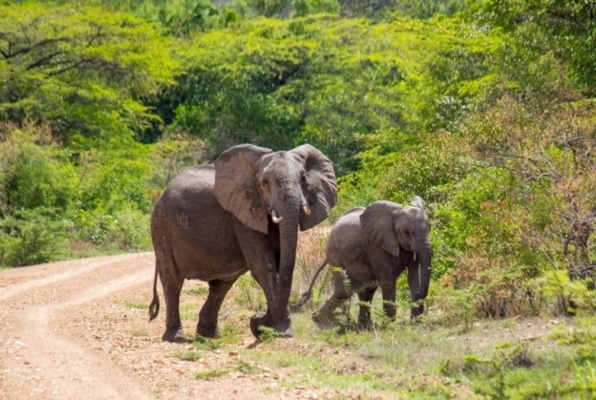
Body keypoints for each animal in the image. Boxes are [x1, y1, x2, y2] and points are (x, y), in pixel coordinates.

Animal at [148, 144, 336, 340]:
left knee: (221, 285)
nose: (256, 318)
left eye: (304, 179)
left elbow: (278, 265)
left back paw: (209, 335)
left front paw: (261, 325)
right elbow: (264, 268)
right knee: (172, 281)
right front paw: (282, 332)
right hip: (161, 226)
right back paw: (176, 337)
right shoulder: (243, 216)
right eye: (264, 183)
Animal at [294, 195, 430, 330]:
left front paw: (416, 322)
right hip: (334, 252)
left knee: (366, 289)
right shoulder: (375, 244)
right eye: (406, 232)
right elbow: (388, 279)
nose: (418, 295)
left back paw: (364, 326)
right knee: (345, 290)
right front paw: (389, 325)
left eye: (429, 228)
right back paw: (321, 320)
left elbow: (414, 276)